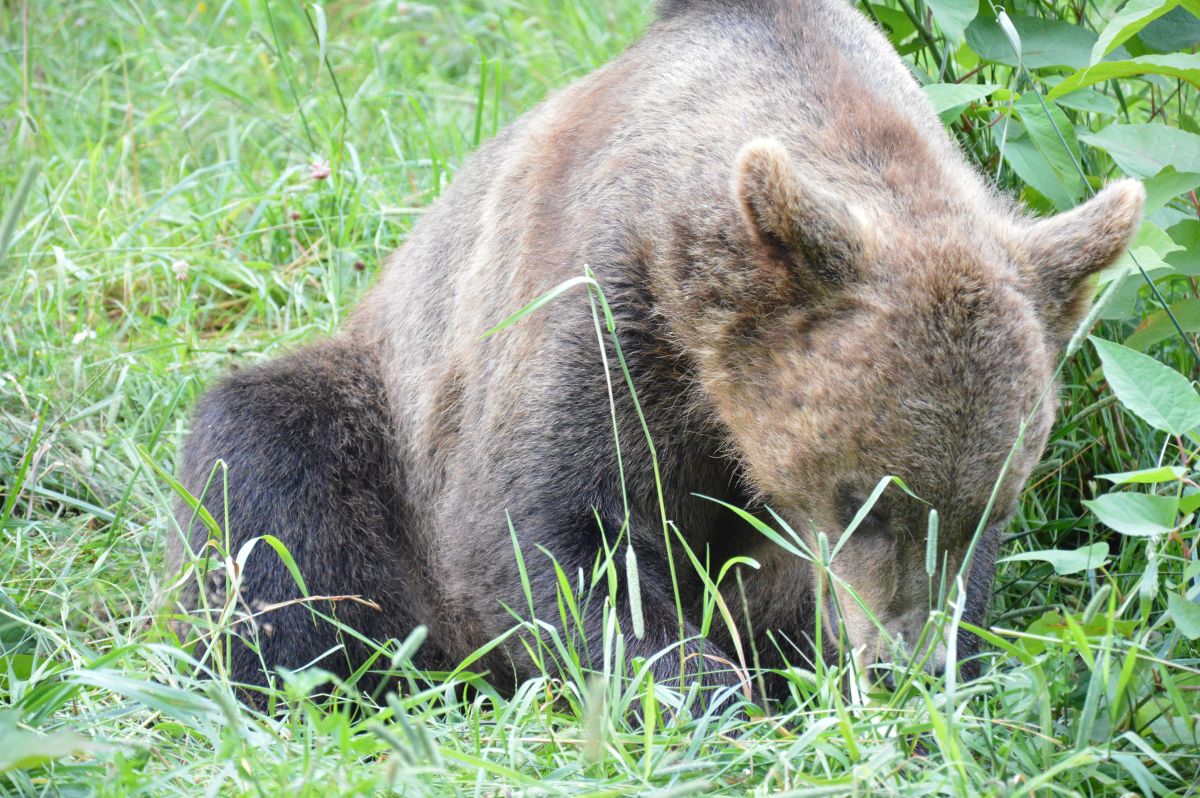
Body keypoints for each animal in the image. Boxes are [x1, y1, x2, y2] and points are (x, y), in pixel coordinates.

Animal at [171, 0, 1142, 705]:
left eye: (988, 508)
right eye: (862, 500)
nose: (902, 664)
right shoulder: (602, 313)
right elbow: (554, 538)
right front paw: (715, 702)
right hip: (374, 418)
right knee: (271, 478)